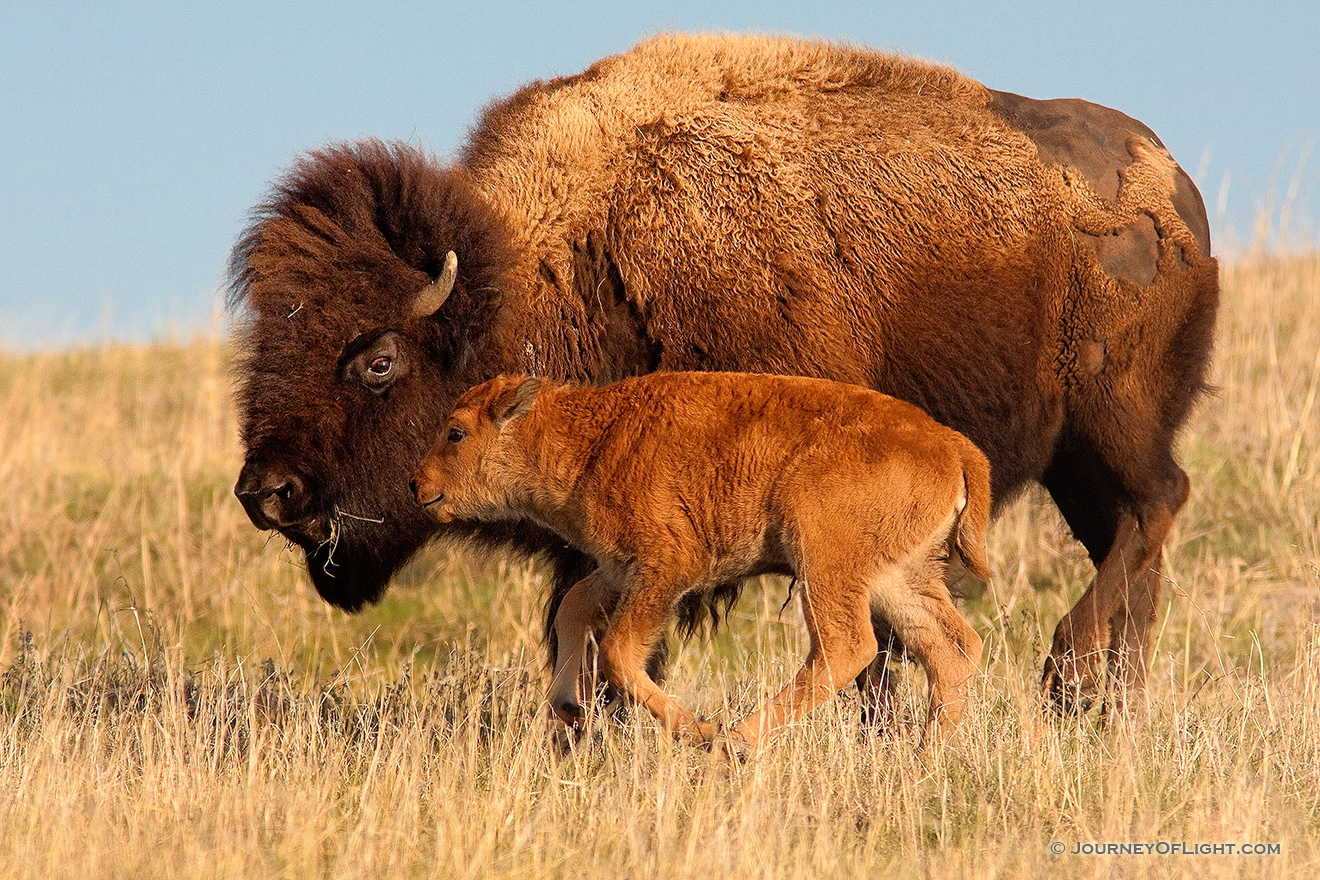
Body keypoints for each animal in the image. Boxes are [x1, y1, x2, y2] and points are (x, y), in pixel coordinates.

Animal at [411, 372, 992, 749]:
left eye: (456, 432)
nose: (418, 485)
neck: (591, 439)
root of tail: (954, 446)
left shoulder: (664, 569)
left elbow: (620, 651)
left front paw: (700, 731)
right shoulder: (618, 570)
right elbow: (572, 608)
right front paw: (568, 708)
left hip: (825, 564)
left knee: (846, 647)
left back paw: (736, 740)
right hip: (899, 577)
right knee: (951, 648)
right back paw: (925, 756)